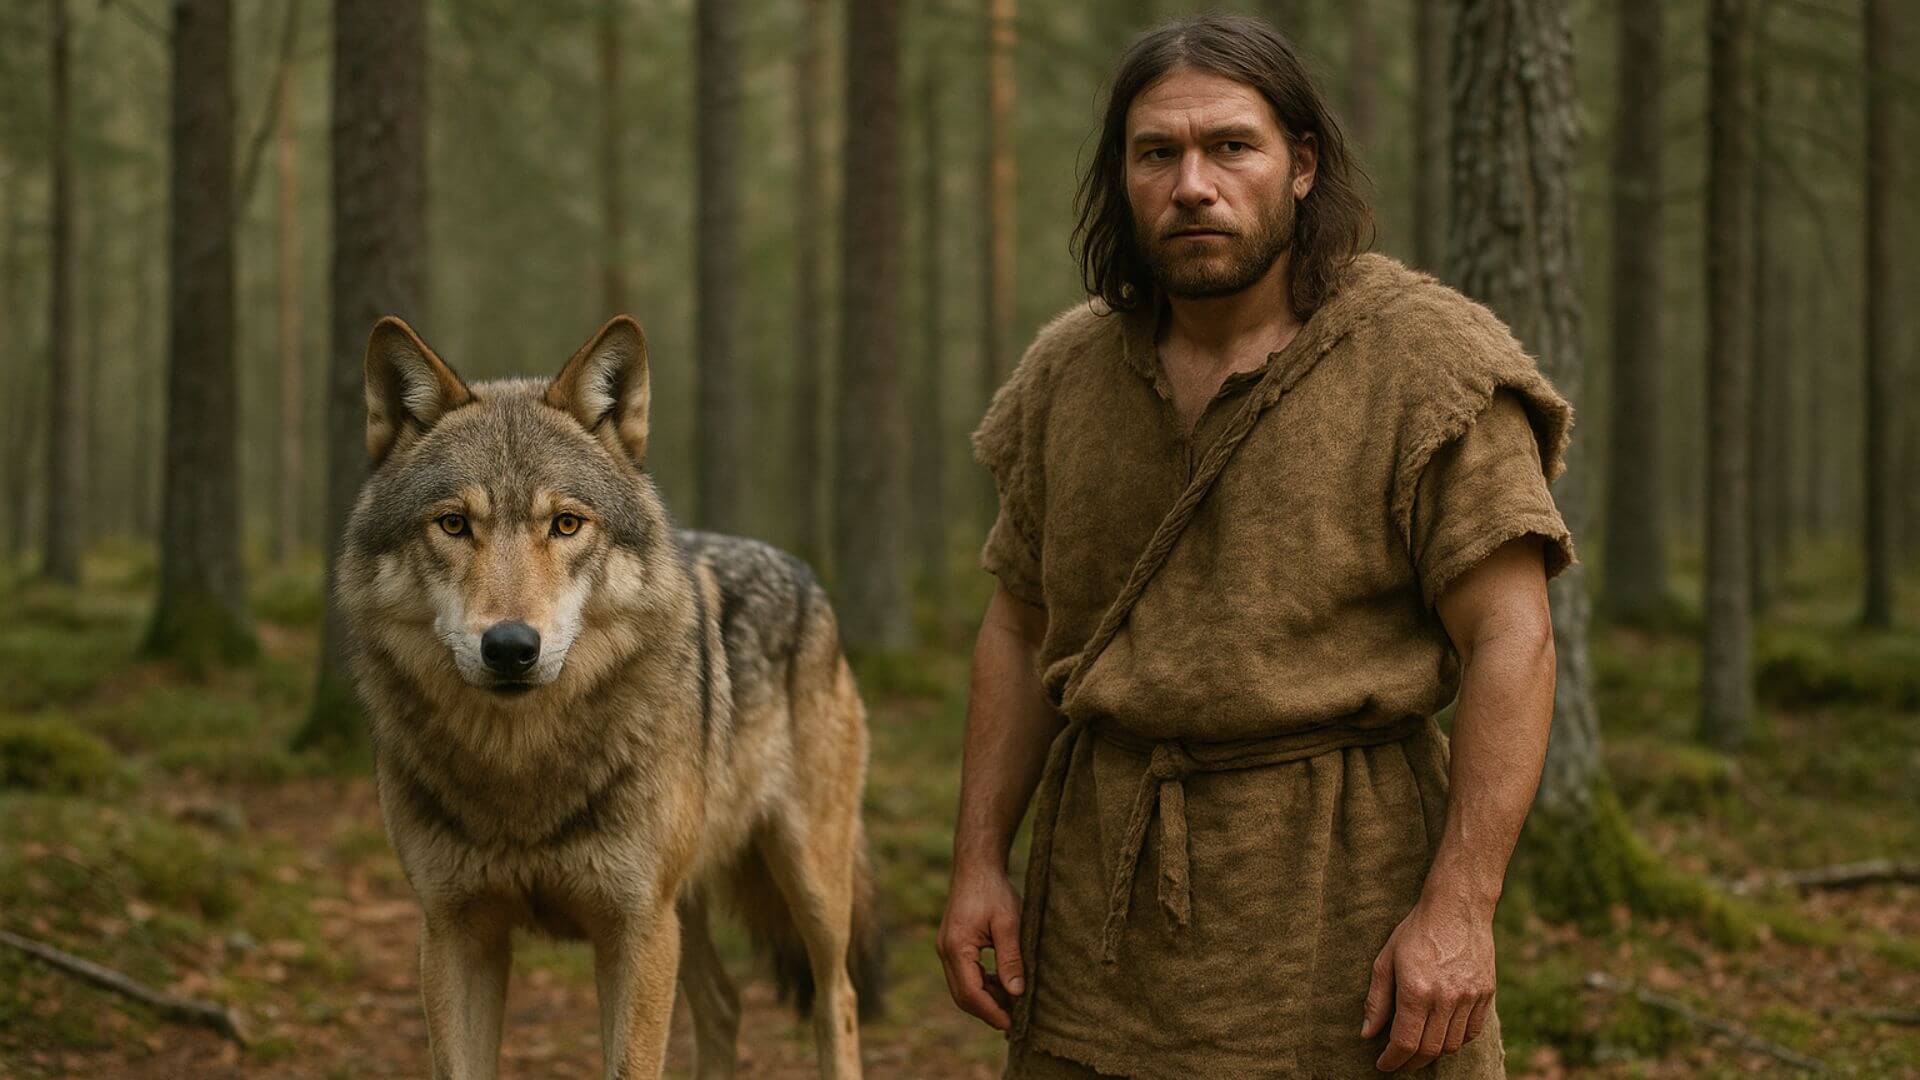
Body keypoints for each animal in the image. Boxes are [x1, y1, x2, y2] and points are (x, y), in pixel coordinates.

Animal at [335, 314, 883, 1080]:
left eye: (566, 524)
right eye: (454, 524)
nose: (511, 646)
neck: (521, 771)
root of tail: (808, 576)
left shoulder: (635, 928)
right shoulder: (453, 930)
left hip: (807, 887)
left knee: (839, 1000)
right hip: (689, 907)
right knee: (724, 1004)